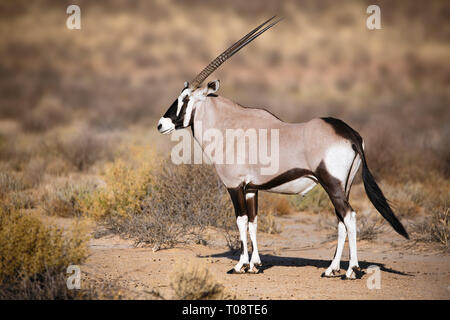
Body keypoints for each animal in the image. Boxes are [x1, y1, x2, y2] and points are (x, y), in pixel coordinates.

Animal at [157, 16, 408, 278]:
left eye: (186, 98)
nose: (161, 124)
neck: (229, 125)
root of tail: (350, 135)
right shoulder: (251, 189)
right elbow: (254, 222)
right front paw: (255, 265)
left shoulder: (234, 186)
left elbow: (241, 221)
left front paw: (239, 265)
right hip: (342, 187)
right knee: (341, 220)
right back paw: (331, 269)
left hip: (332, 185)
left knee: (349, 217)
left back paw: (351, 270)